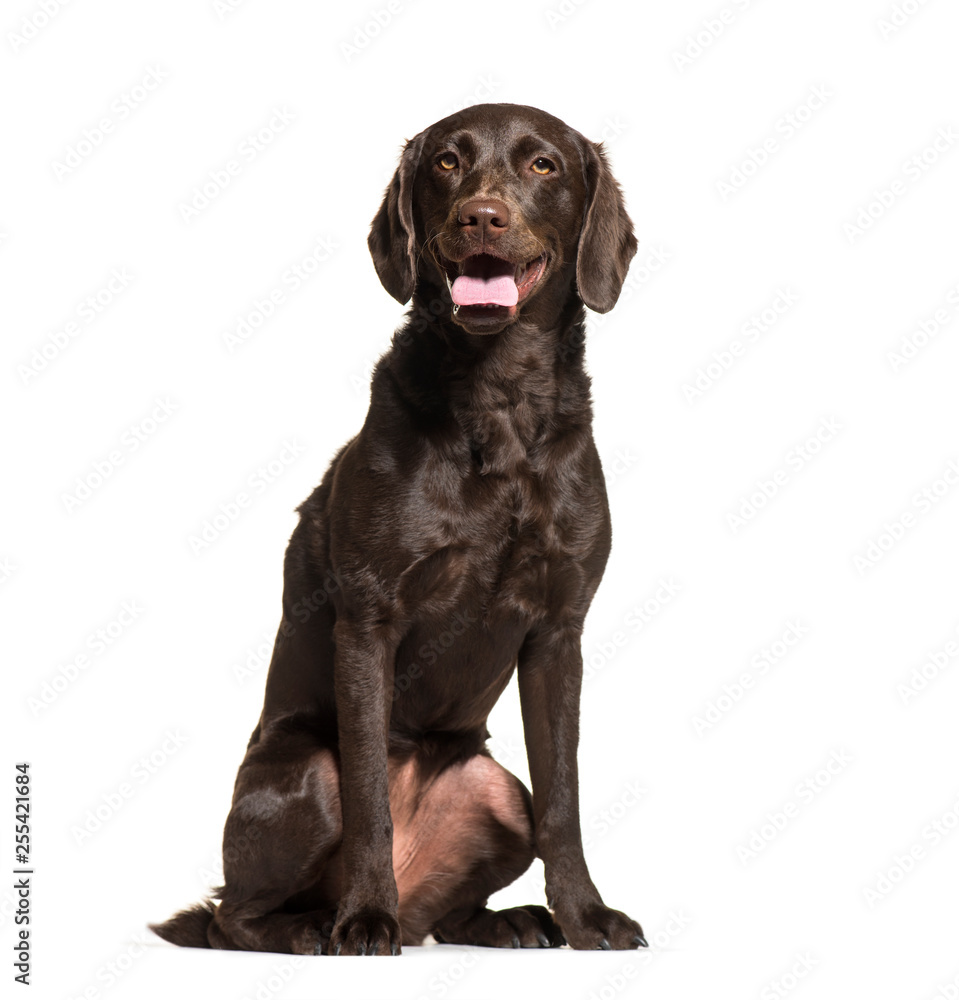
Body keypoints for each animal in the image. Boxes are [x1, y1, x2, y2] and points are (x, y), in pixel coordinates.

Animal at [150, 101, 644, 952]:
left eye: (543, 165)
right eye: (446, 162)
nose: (481, 215)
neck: (497, 399)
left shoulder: (559, 631)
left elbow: (564, 799)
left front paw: (585, 918)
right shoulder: (367, 619)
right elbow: (370, 798)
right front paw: (361, 919)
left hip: (495, 790)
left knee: (453, 908)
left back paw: (508, 921)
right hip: (305, 774)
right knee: (231, 915)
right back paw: (319, 926)